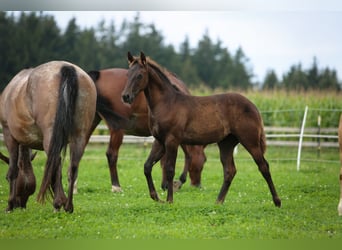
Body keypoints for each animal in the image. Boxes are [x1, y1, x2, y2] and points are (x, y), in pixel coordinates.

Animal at [0, 61, 97, 213]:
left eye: (4, 178)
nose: (20, 205)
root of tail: (67, 68)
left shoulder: (9, 134)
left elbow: (13, 170)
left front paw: (9, 205)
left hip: (50, 137)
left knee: (55, 165)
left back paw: (58, 203)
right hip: (79, 136)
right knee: (73, 167)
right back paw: (68, 205)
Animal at [121, 51, 282, 207]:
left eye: (139, 75)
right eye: (128, 74)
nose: (125, 96)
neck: (167, 103)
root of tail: (253, 107)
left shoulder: (172, 141)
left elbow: (170, 169)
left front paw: (170, 200)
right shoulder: (160, 141)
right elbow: (147, 166)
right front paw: (156, 197)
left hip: (250, 141)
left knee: (263, 166)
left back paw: (277, 201)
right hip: (226, 143)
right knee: (230, 170)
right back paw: (218, 202)